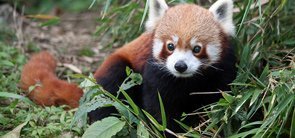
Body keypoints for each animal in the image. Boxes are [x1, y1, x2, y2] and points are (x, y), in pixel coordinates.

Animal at [89, 0, 237, 133]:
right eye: (170, 46)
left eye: (197, 48)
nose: (180, 66)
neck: (186, 81)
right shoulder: (155, 75)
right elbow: (159, 110)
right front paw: (169, 131)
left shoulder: (222, 72)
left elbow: (216, 104)